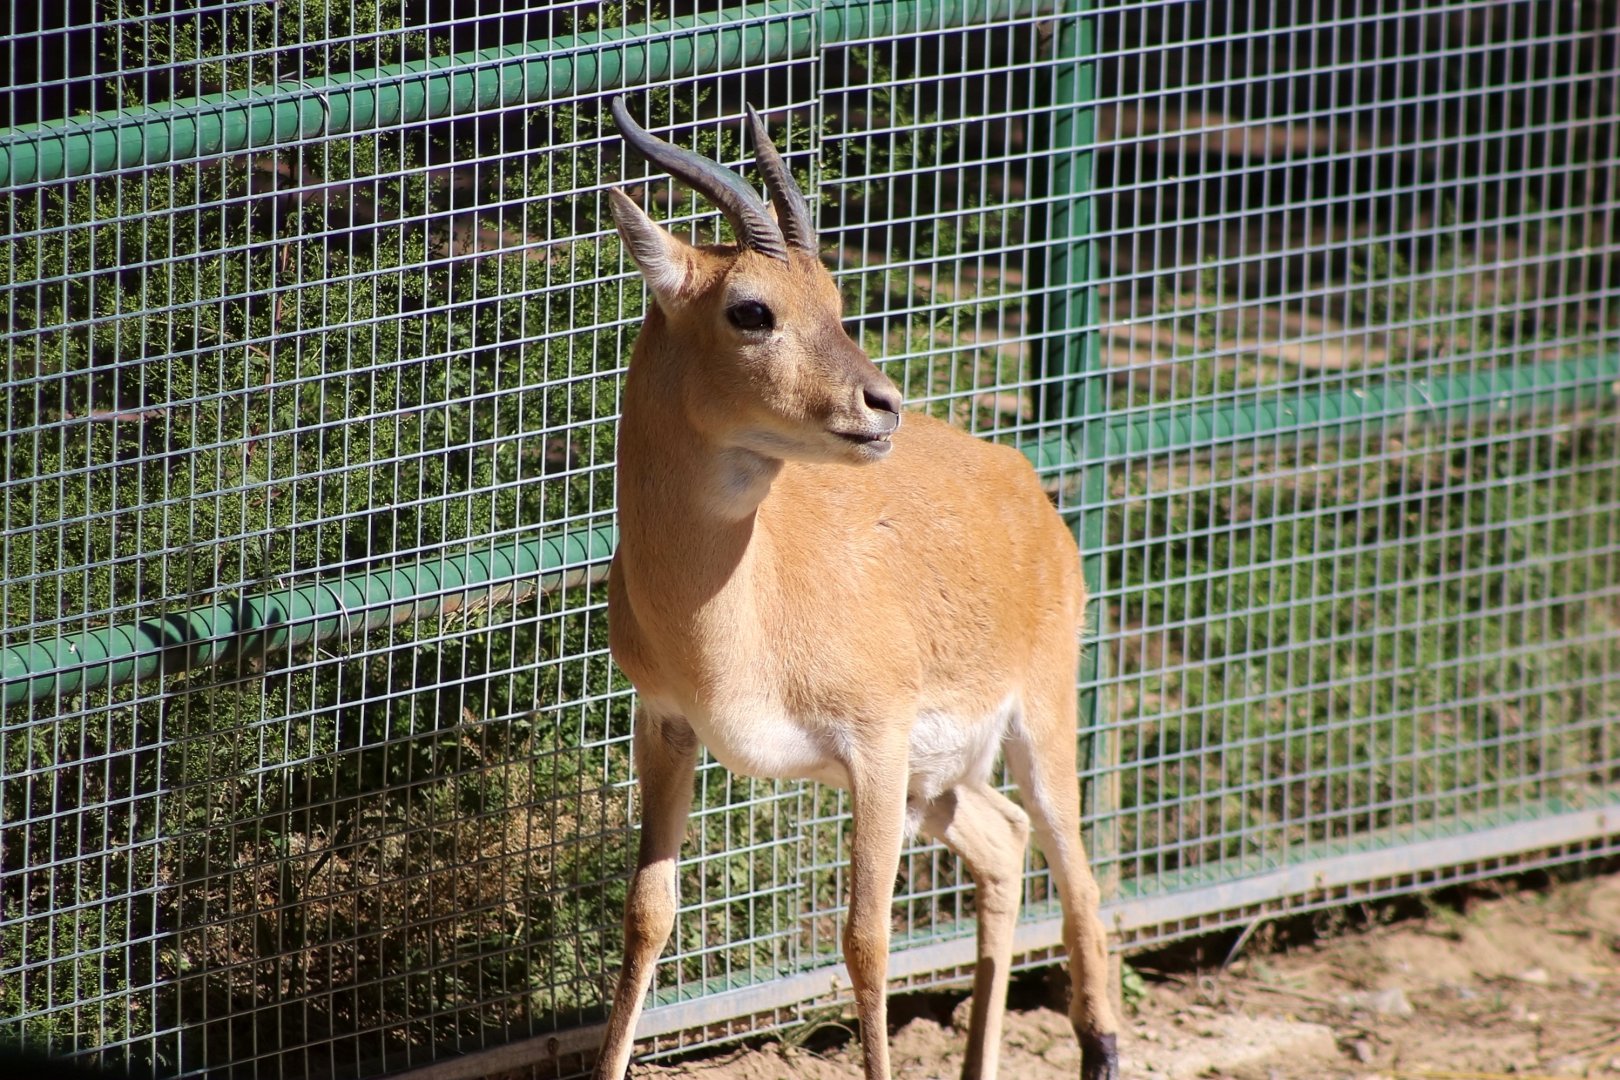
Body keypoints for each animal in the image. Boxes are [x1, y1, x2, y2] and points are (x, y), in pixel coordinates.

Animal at [594, 97, 1120, 1080]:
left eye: (836, 301)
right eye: (751, 309)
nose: (882, 405)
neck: (732, 624)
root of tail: (1021, 477)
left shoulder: (875, 745)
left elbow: (867, 940)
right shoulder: (667, 725)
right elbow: (647, 916)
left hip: (1038, 721)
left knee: (1074, 866)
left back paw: (1102, 1044)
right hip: (940, 781)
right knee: (1003, 843)